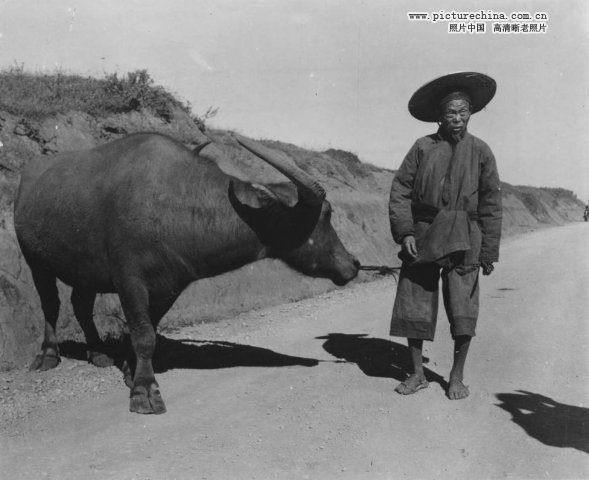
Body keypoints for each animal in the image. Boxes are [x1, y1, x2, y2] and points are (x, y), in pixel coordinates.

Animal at [13, 131, 358, 412]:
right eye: (327, 213)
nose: (353, 264)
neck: (174, 203)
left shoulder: (169, 287)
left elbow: (147, 331)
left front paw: (128, 368)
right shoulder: (129, 281)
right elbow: (143, 335)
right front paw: (145, 391)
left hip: (85, 272)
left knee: (81, 306)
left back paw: (98, 353)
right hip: (35, 261)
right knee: (51, 305)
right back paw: (48, 355)